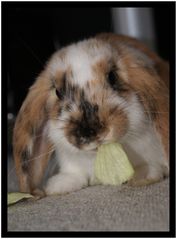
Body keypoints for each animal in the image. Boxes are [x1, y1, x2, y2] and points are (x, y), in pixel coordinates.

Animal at [12, 32, 169, 197]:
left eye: (112, 77)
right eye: (58, 92)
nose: (88, 133)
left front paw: (143, 175)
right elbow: (75, 174)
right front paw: (58, 186)